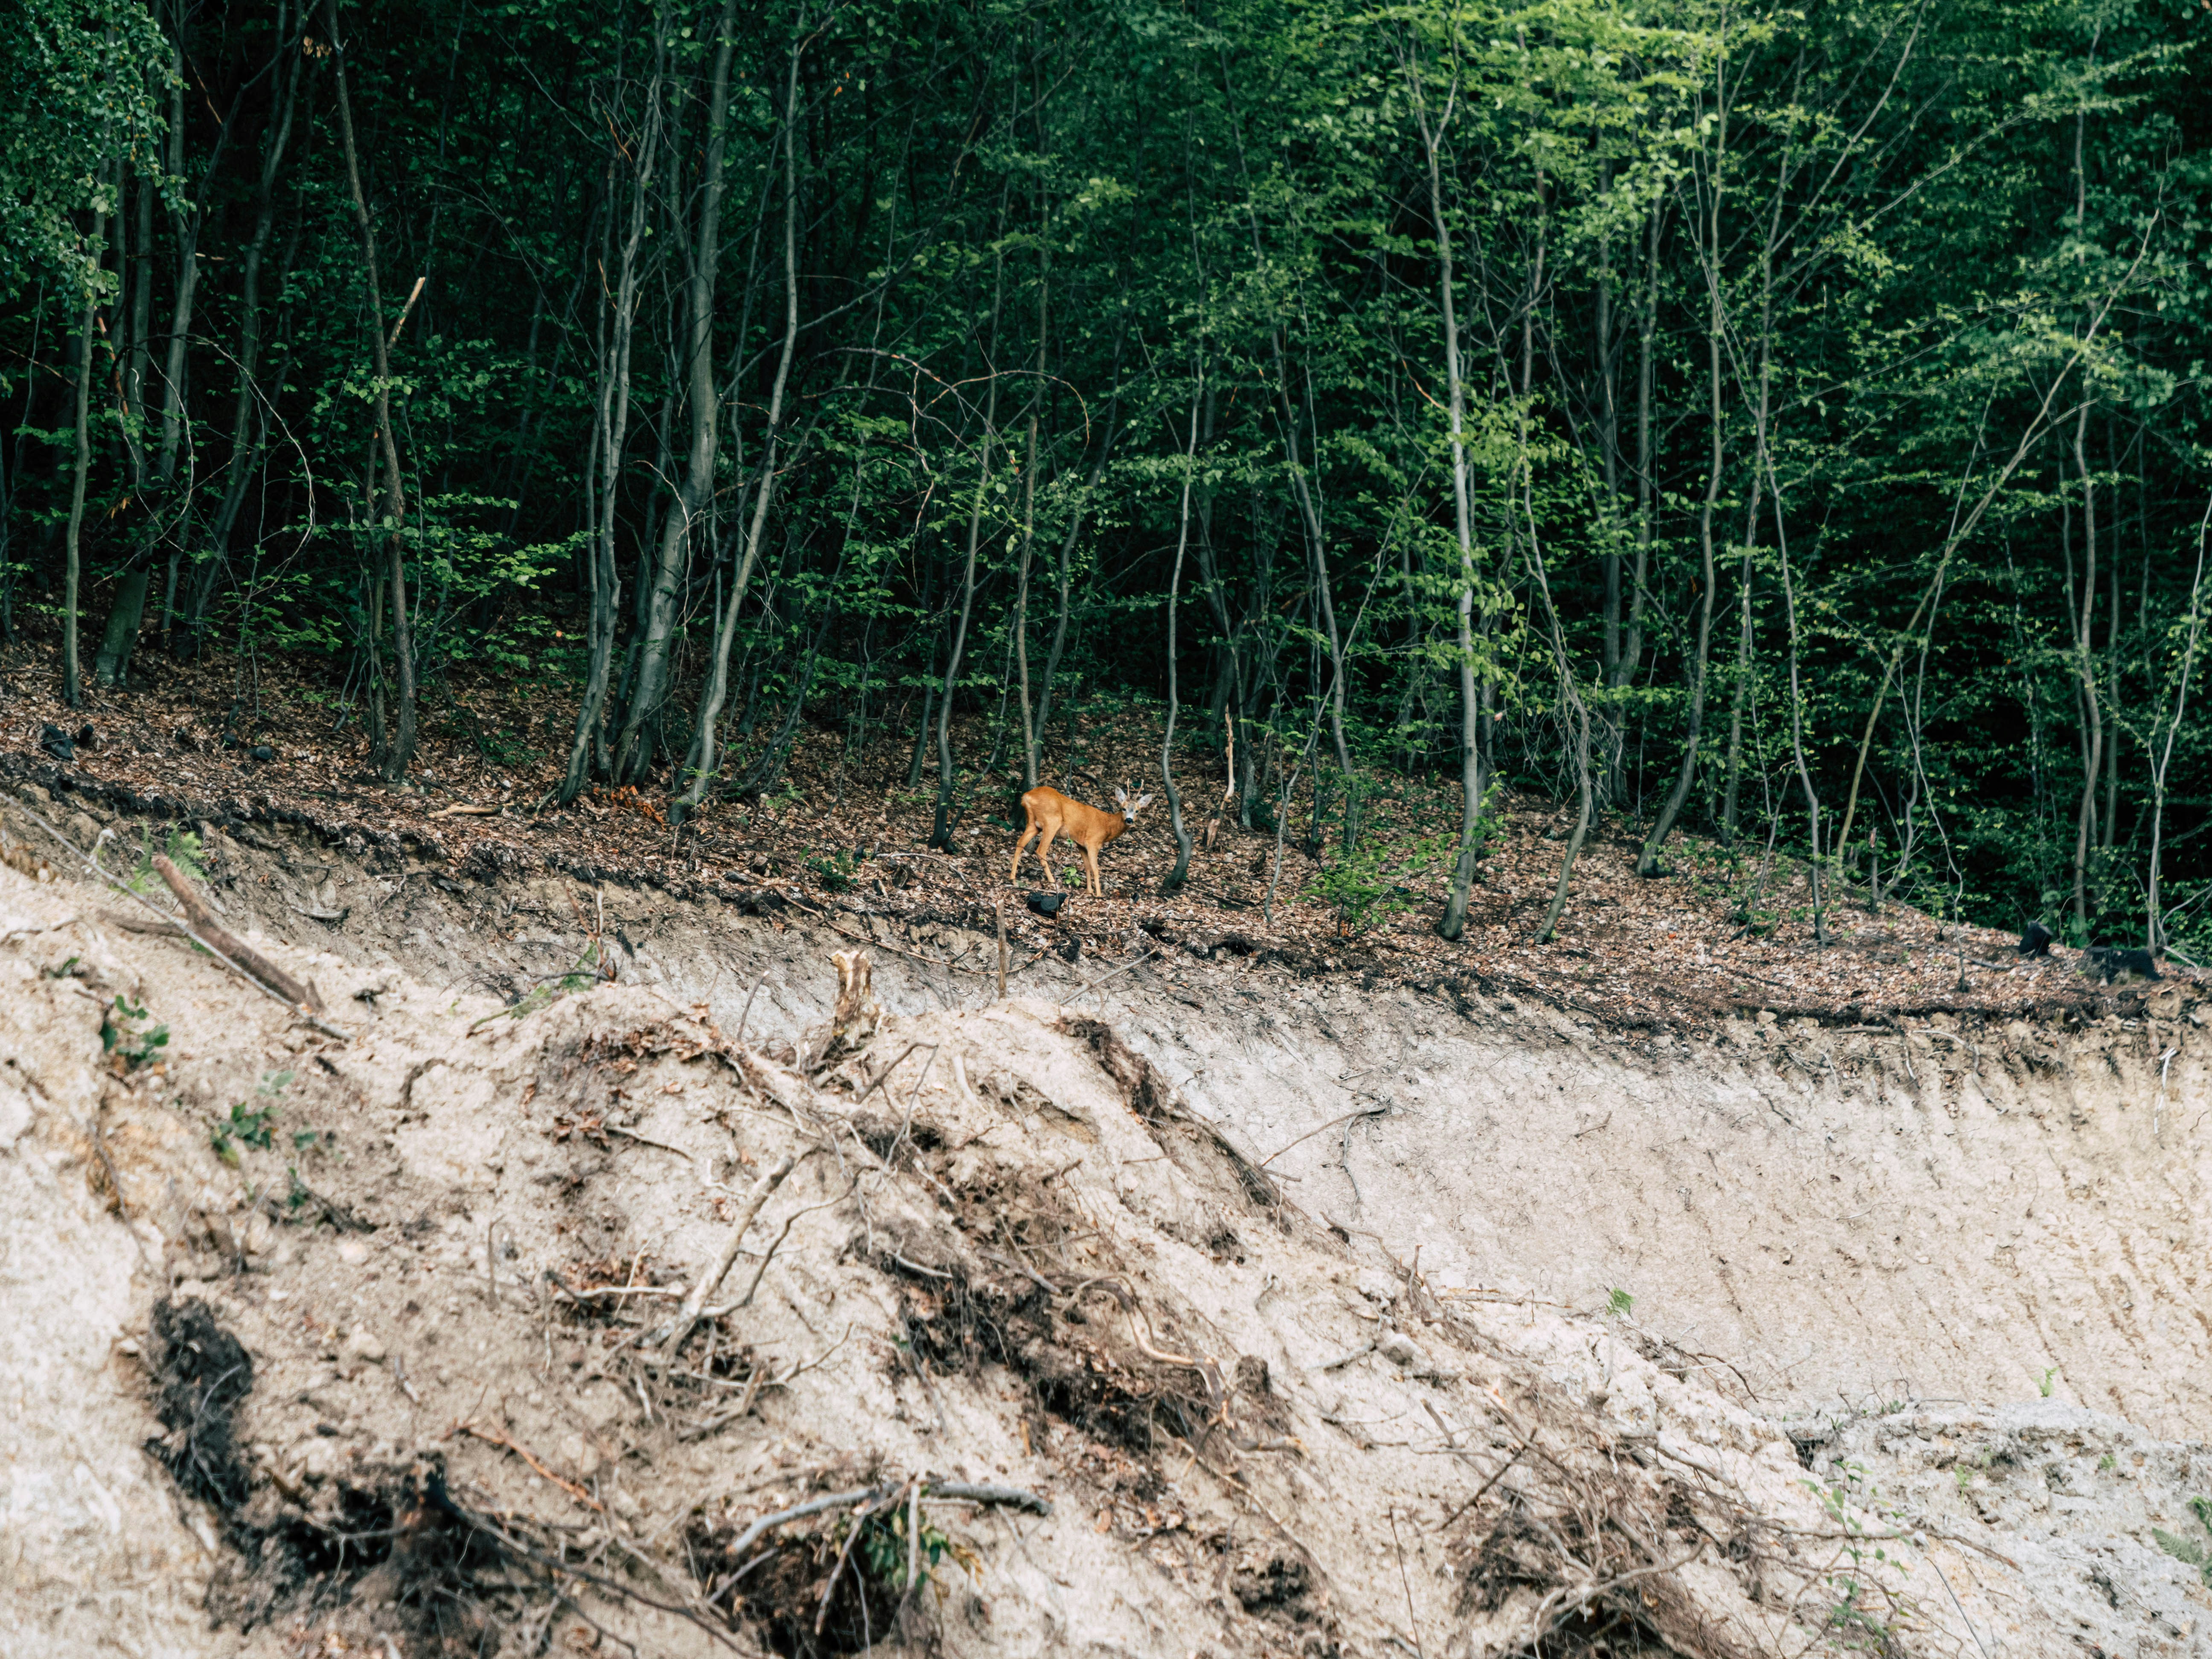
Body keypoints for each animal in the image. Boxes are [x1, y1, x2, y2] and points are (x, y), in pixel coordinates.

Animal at [1010, 785, 1151, 896]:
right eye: (1124, 809)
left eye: (1137, 811)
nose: (1129, 820)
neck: (1108, 826)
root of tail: (1027, 797)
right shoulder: (1093, 842)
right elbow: (1095, 869)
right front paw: (1098, 894)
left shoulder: (1080, 844)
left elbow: (1087, 866)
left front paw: (1089, 891)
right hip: (1052, 821)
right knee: (1040, 851)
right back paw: (1052, 881)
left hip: (1034, 824)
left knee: (1020, 843)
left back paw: (1013, 878)